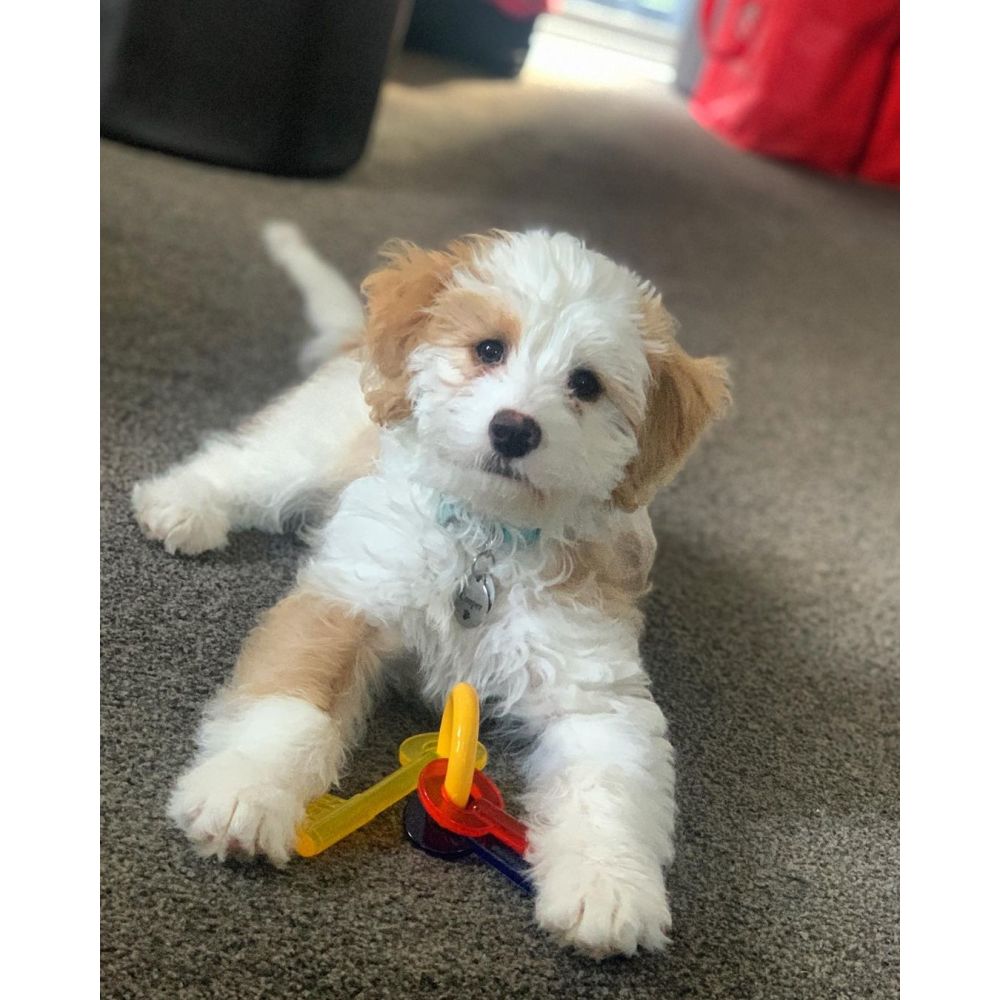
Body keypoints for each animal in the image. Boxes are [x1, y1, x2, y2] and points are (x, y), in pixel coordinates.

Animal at [135, 223, 728, 956]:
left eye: (586, 384)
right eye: (488, 349)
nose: (514, 428)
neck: (485, 539)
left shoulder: (594, 690)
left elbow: (608, 786)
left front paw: (608, 887)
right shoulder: (347, 600)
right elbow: (294, 702)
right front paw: (249, 789)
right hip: (315, 446)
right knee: (244, 465)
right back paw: (181, 504)